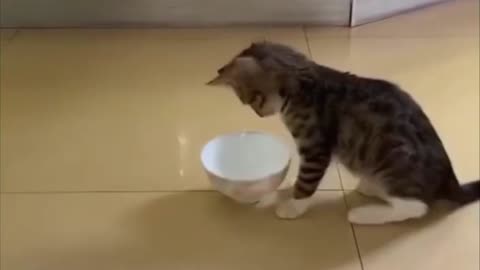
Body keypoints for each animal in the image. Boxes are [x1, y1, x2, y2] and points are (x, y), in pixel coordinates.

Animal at [207, 41, 480, 225]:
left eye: (252, 100)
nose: (258, 115)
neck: (303, 86)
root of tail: (448, 179)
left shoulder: (315, 147)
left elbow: (307, 181)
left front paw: (294, 206)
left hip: (395, 160)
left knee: (416, 207)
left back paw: (363, 213)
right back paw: (369, 187)